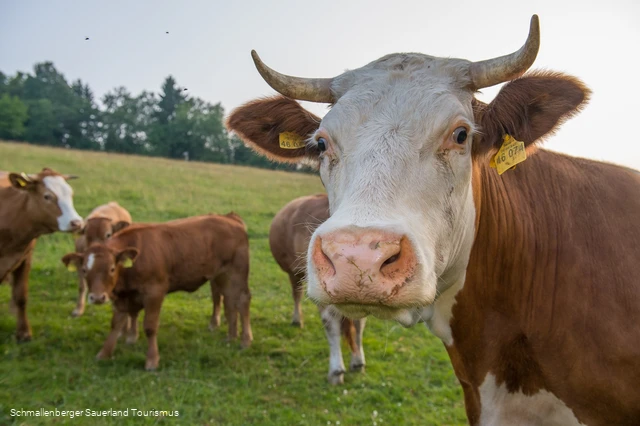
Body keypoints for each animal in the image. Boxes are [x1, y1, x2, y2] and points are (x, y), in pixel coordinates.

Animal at [0, 168, 84, 342]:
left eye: (71, 194)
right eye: (47, 196)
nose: (77, 223)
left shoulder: (24, 259)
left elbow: (21, 296)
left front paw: (24, 332)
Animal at [60, 213, 250, 370]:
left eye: (112, 269)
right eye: (84, 270)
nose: (97, 297)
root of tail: (230, 217)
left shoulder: (155, 293)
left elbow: (150, 327)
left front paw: (152, 360)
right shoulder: (122, 297)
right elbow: (116, 324)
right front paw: (104, 353)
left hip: (237, 273)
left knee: (242, 300)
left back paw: (245, 340)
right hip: (222, 276)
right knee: (229, 301)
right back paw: (231, 337)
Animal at [268, 195, 364, 384]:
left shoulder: (295, 272)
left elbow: (297, 296)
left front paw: (297, 319)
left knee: (330, 321)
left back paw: (336, 371)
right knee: (359, 321)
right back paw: (358, 362)